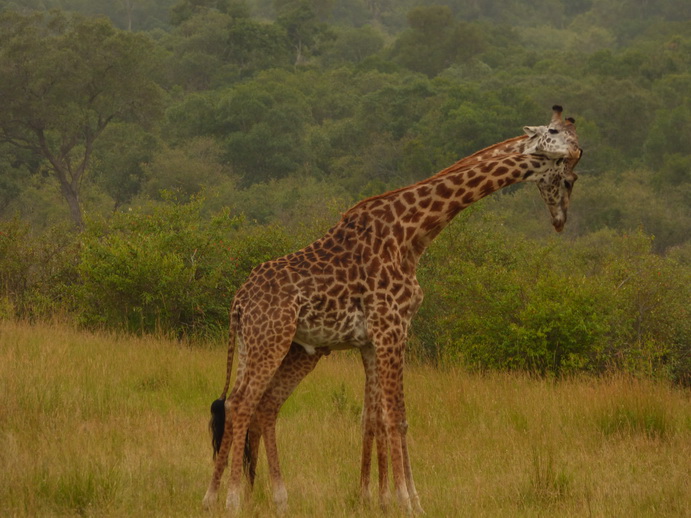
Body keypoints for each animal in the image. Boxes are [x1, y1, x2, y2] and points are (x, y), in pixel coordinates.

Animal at [202, 106, 582, 514]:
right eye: (568, 175)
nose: (560, 220)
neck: (412, 233)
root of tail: (238, 302)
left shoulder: (373, 340)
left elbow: (375, 418)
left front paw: (375, 498)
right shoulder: (391, 328)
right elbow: (398, 417)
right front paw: (407, 501)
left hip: (268, 346)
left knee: (258, 405)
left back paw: (260, 497)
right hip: (270, 340)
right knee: (240, 403)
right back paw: (228, 499)